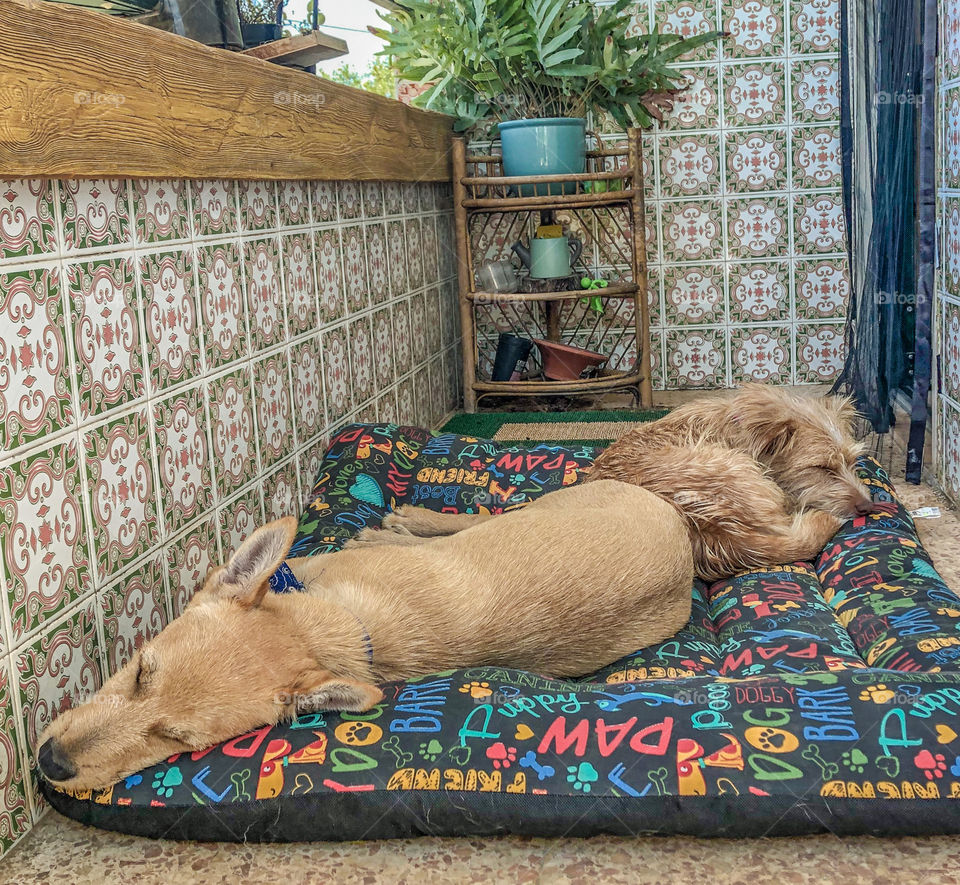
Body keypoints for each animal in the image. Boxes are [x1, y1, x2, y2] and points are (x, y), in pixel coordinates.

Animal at [37, 484, 692, 796]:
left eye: (176, 740)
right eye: (140, 671)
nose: (50, 764)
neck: (333, 626)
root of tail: (683, 532)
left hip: (545, 506)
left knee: (477, 518)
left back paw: (403, 525)